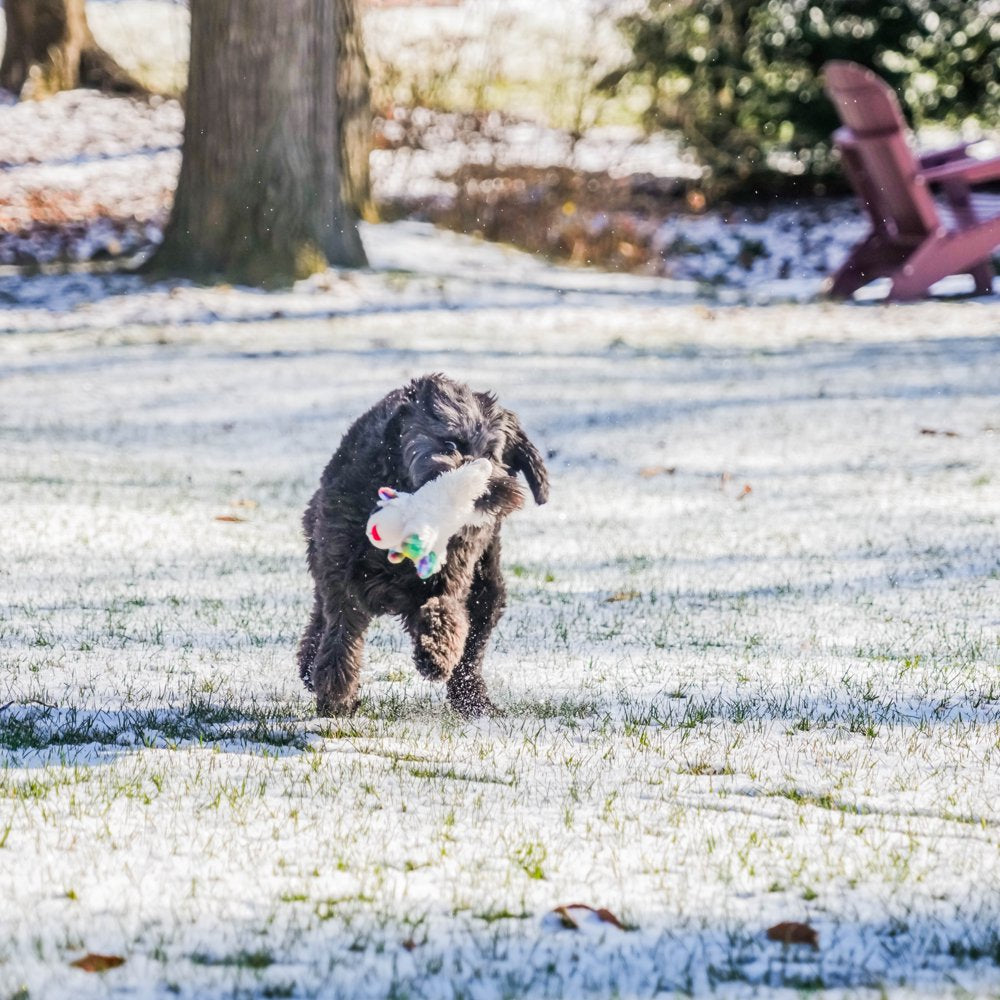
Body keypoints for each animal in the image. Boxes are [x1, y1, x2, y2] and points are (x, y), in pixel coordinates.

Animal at [296, 372, 548, 716]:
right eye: (451, 443)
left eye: (492, 454)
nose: (484, 490)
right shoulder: (341, 570)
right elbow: (342, 633)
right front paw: (337, 693)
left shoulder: (452, 572)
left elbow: (445, 611)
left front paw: (435, 654)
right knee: (320, 620)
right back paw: (310, 667)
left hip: (487, 592)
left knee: (471, 651)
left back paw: (475, 702)